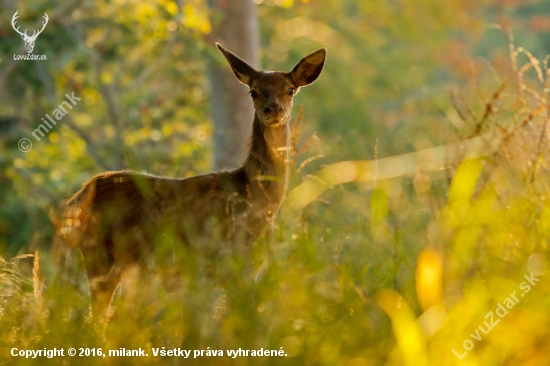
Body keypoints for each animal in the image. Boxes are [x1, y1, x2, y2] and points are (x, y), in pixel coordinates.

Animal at [61, 43, 328, 324]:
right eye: (254, 91)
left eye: (290, 89)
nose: (273, 109)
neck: (257, 202)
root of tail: (76, 199)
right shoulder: (224, 261)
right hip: (99, 255)